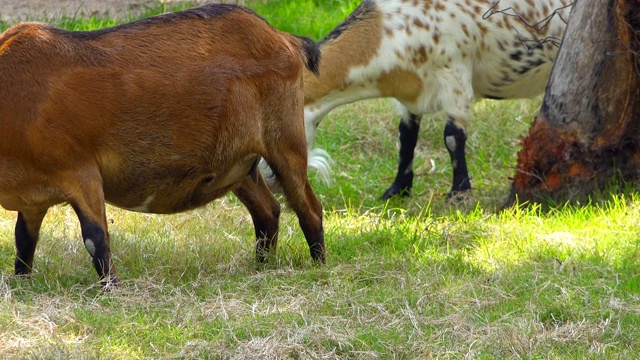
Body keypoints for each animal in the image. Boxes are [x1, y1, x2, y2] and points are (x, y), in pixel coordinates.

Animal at [0, 4, 328, 286]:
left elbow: (95, 238)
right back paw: (261, 267)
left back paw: (319, 266)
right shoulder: (33, 197)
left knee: (309, 207)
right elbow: (23, 239)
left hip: (285, 139)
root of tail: (283, 37)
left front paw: (113, 290)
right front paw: (22, 283)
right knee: (268, 210)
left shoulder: (81, 171)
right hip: (239, 163)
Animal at [262, 0, 572, 200]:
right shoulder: (410, 94)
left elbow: (452, 136)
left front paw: (459, 193)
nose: (270, 182)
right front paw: (396, 190)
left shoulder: (454, 74)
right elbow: (406, 137)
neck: (391, 28)